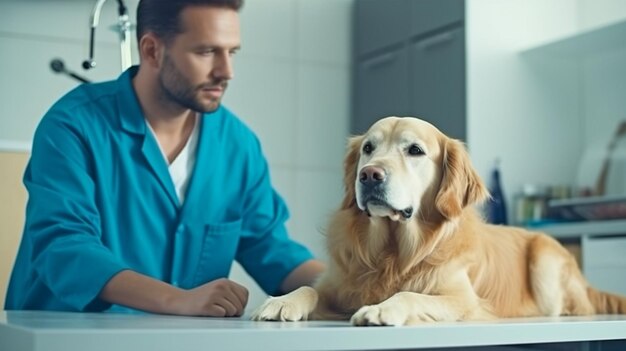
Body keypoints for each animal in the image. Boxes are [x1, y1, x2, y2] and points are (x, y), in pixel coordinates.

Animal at [250, 117, 624, 326]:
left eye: (414, 150)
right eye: (368, 148)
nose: (369, 175)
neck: (392, 252)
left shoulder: (462, 299)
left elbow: (411, 295)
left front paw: (381, 309)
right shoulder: (337, 287)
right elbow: (308, 288)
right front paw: (281, 301)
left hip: (545, 259)